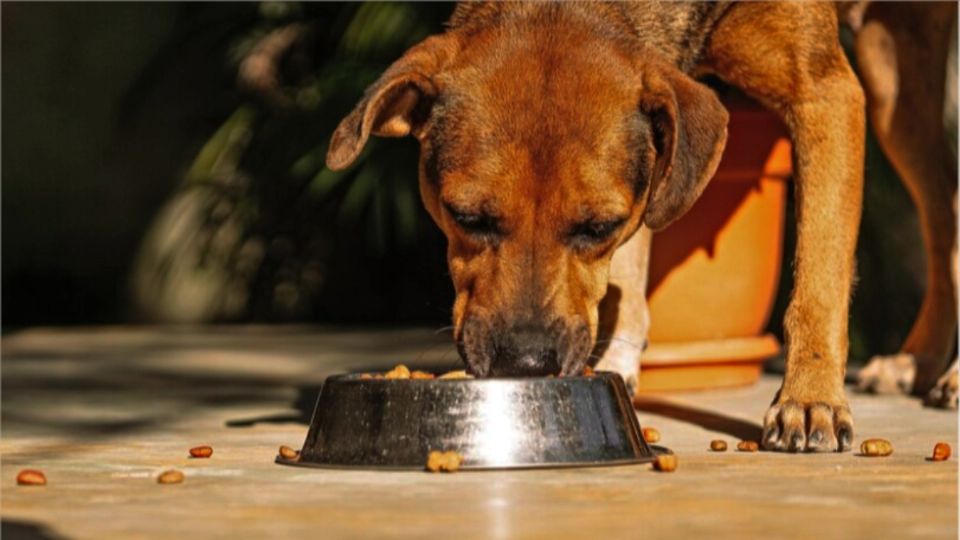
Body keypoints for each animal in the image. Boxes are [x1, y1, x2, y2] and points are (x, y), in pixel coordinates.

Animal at [326, 2, 956, 454]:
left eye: (596, 224)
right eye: (467, 218)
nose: (525, 365)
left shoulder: (824, 93)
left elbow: (819, 278)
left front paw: (810, 397)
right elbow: (629, 265)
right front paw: (616, 363)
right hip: (893, 80)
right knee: (942, 214)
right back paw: (919, 362)